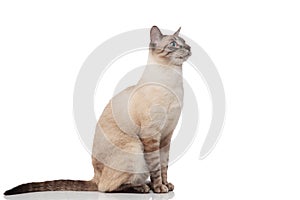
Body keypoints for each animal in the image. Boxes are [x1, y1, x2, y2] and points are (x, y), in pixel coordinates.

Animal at [4, 25, 191, 195]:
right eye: (174, 44)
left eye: (185, 43)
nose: (189, 48)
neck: (173, 82)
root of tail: (95, 176)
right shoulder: (151, 136)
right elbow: (156, 167)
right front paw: (159, 188)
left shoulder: (166, 136)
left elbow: (164, 166)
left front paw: (166, 185)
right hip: (134, 147)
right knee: (106, 188)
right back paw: (143, 187)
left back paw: (146, 185)